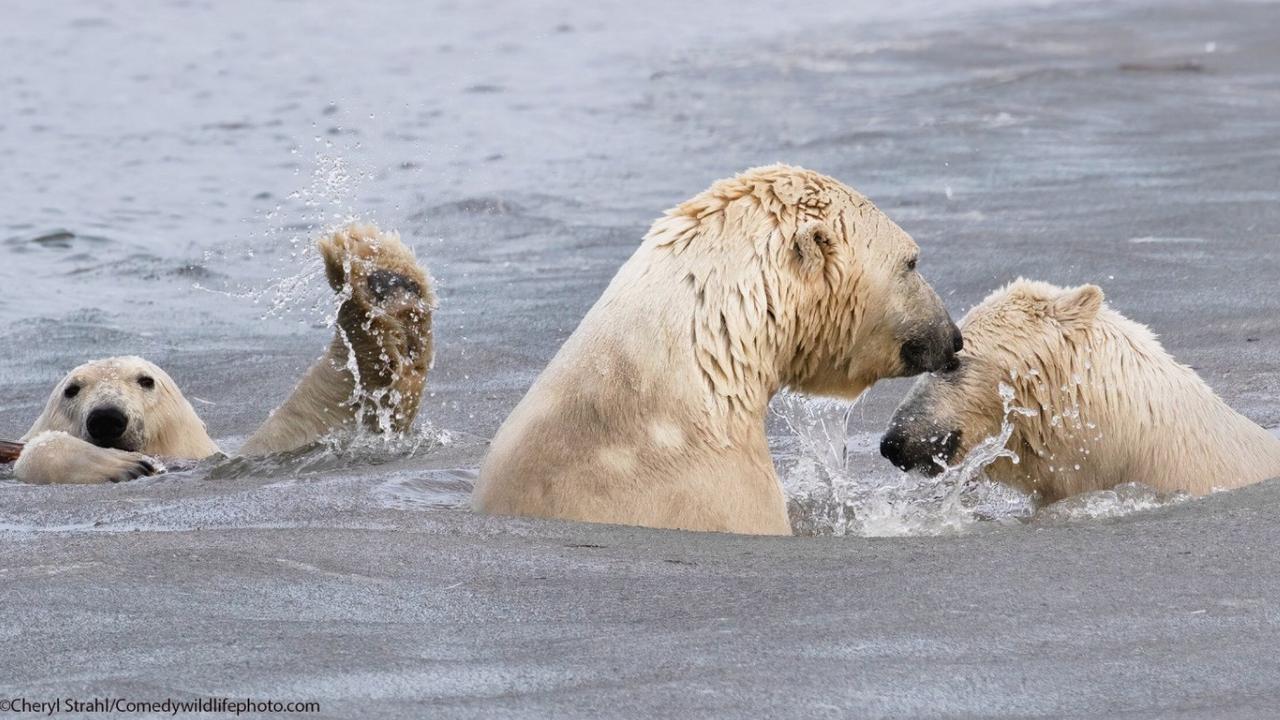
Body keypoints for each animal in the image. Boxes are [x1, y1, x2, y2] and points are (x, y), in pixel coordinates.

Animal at [8, 224, 440, 481]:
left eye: (145, 381)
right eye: (71, 389)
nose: (107, 418)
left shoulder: (224, 457)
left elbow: (319, 421)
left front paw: (381, 279)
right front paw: (119, 466)